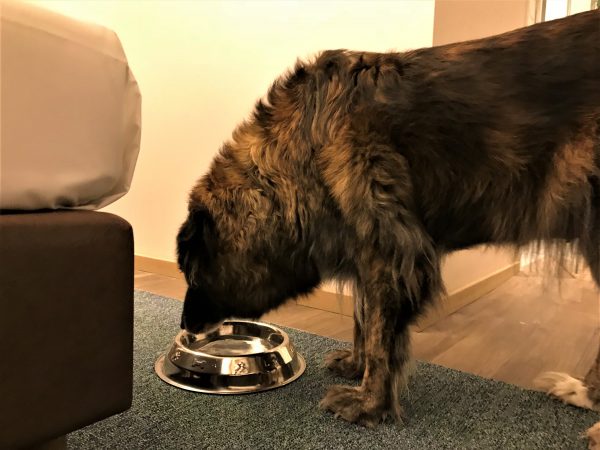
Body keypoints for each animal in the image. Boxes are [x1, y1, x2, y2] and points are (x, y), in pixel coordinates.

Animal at [176, 9, 600, 434]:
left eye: (192, 272)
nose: (186, 326)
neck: (306, 137)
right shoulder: (367, 249)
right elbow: (364, 319)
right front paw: (356, 366)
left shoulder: (392, 254)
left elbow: (381, 337)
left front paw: (368, 403)